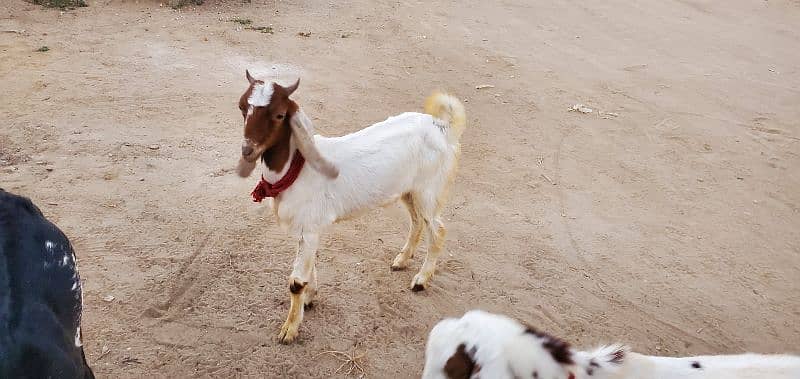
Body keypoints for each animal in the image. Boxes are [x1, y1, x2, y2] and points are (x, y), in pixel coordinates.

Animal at [234, 70, 466, 344]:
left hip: (429, 190)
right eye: (241, 107)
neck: (297, 169)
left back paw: (420, 280)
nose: (248, 150)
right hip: (409, 190)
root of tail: (443, 128)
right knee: (417, 221)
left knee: (437, 230)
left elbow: (296, 282)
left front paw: (289, 330)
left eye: (280, 114)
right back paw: (401, 260)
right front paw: (310, 299)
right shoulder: (309, 230)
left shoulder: (309, 228)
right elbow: (310, 267)